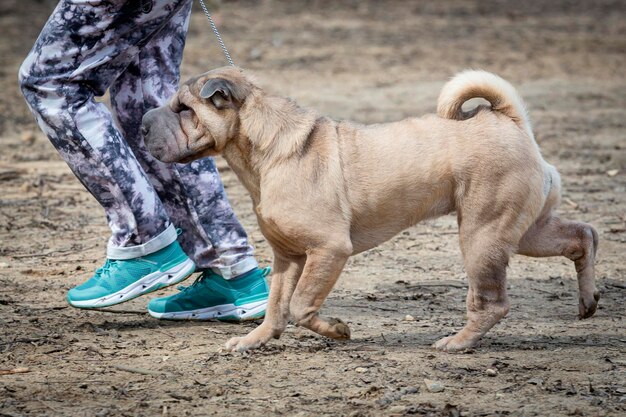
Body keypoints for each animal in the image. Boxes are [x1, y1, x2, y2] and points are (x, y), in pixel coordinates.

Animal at [139, 66, 596, 352]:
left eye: (184, 109)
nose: (141, 123)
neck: (260, 152)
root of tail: (508, 120)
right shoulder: (287, 257)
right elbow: (275, 306)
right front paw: (255, 340)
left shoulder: (328, 250)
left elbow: (300, 306)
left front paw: (337, 331)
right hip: (523, 232)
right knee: (582, 237)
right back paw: (588, 302)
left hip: (482, 236)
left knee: (492, 303)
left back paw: (457, 343)